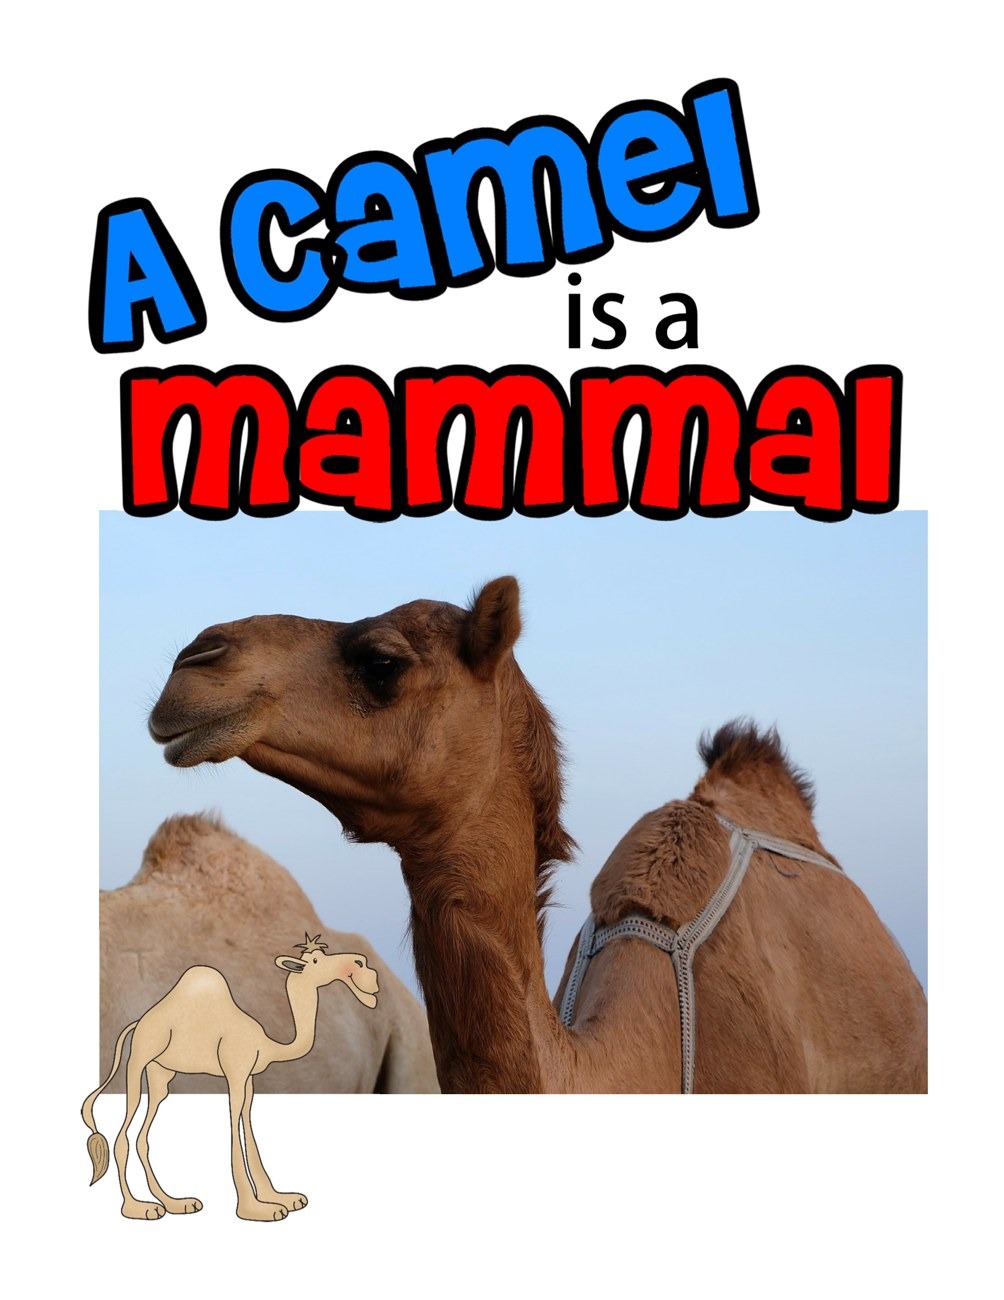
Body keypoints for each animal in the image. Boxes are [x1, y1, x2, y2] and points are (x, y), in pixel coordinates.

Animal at [83, 935, 379, 1219]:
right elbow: (235, 1124)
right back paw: (138, 1208)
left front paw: (281, 1198)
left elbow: (247, 1124)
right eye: (316, 960)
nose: (362, 963)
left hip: (160, 1073)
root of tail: (137, 1024)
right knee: (123, 1135)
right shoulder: (235, 1070)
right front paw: (256, 1209)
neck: (268, 1045)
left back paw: (175, 1203)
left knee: (142, 1135)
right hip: (139, 1059)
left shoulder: (248, 1077)